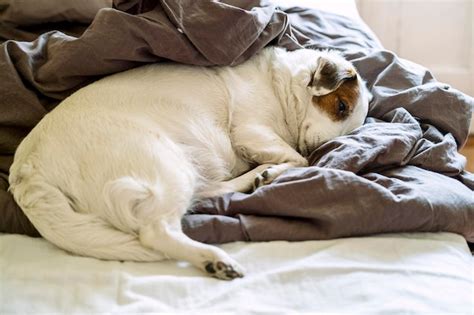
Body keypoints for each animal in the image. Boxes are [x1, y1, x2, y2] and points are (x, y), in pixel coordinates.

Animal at [8, 47, 370, 282]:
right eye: (340, 106)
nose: (324, 148)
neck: (279, 86)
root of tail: (27, 171)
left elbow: (294, 158)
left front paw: (268, 172)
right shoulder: (252, 131)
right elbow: (298, 157)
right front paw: (279, 167)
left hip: (185, 165)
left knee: (207, 192)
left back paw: (251, 181)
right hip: (166, 164)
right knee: (157, 232)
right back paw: (213, 258)